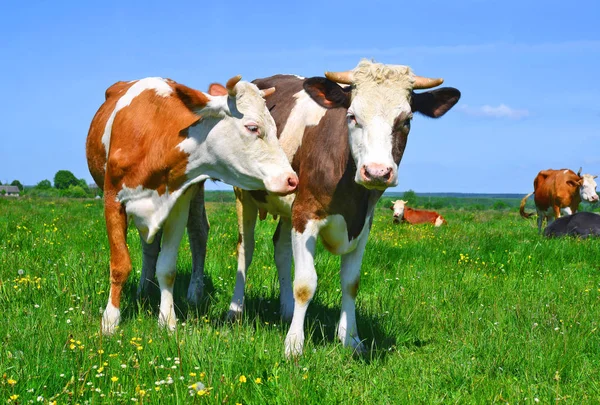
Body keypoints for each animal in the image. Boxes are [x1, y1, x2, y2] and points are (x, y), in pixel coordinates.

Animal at [86, 76, 298, 334]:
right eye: (252, 127)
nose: (292, 179)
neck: (157, 139)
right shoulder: (111, 198)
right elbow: (120, 264)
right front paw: (110, 320)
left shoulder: (179, 201)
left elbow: (167, 267)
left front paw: (167, 321)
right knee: (149, 247)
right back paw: (143, 289)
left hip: (194, 193)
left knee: (197, 233)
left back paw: (192, 294)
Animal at [213, 58, 462, 356]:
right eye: (352, 116)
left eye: (406, 120)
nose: (377, 172)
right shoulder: (306, 214)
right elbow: (305, 284)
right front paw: (294, 345)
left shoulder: (362, 224)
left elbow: (351, 283)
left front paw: (351, 339)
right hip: (244, 195)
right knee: (245, 250)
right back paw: (235, 311)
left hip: (287, 207)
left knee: (281, 250)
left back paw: (286, 311)